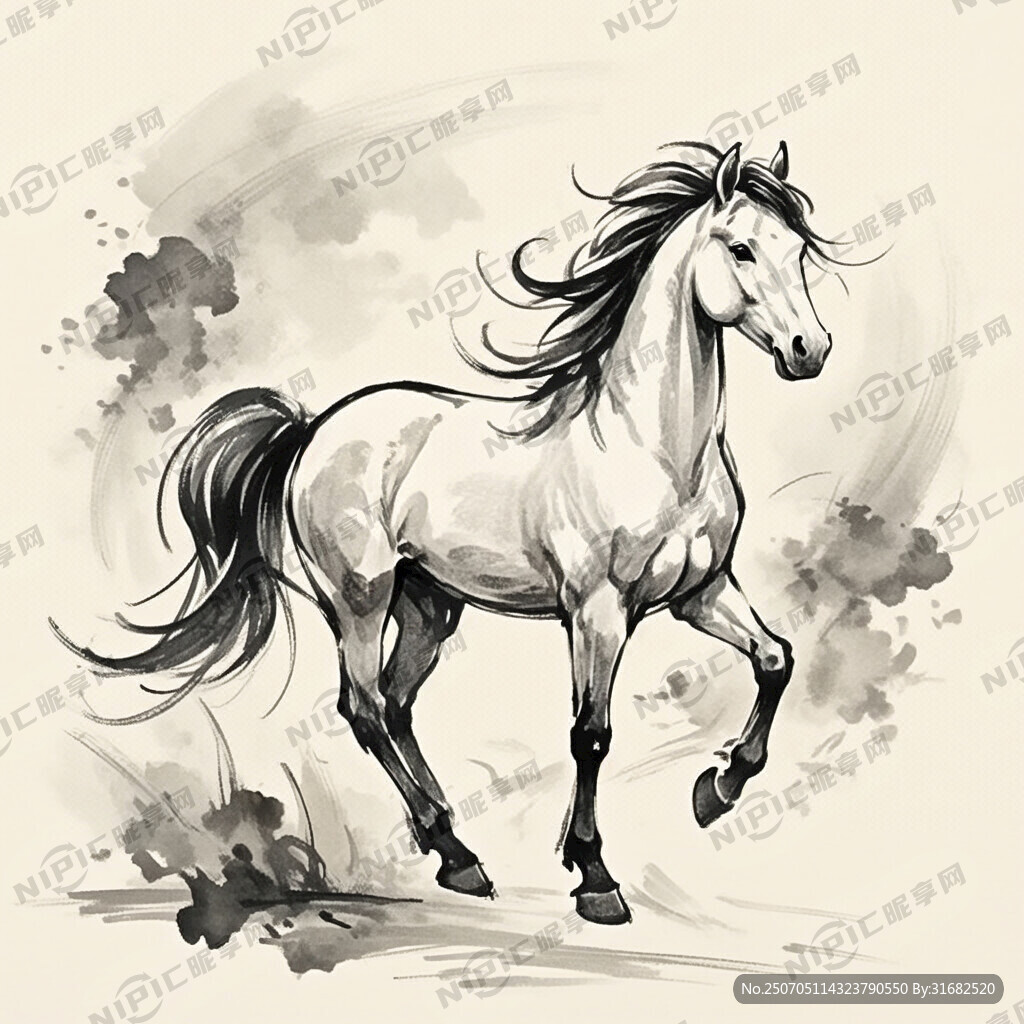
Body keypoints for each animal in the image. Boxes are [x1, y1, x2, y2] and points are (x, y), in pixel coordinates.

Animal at [54, 140, 838, 926]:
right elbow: (591, 735)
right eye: (739, 248)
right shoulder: (598, 611)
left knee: (397, 704)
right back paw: (455, 852)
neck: (652, 449)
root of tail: (312, 430)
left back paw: (451, 846)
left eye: (798, 249)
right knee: (365, 707)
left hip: (429, 603)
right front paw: (595, 878)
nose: (812, 349)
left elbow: (776, 659)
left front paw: (718, 789)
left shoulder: (701, 593)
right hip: (361, 597)